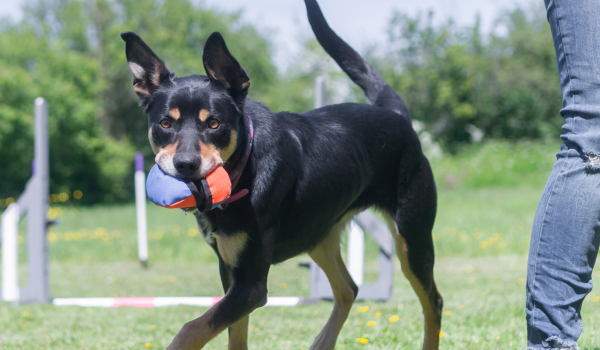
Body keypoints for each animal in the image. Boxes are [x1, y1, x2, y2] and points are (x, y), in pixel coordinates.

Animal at [122, 1, 440, 348]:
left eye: (214, 123)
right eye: (166, 123)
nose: (186, 164)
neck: (243, 171)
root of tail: (399, 117)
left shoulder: (252, 285)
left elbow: (192, 328)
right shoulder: (232, 272)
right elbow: (234, 333)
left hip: (411, 237)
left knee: (433, 302)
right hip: (319, 233)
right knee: (349, 288)